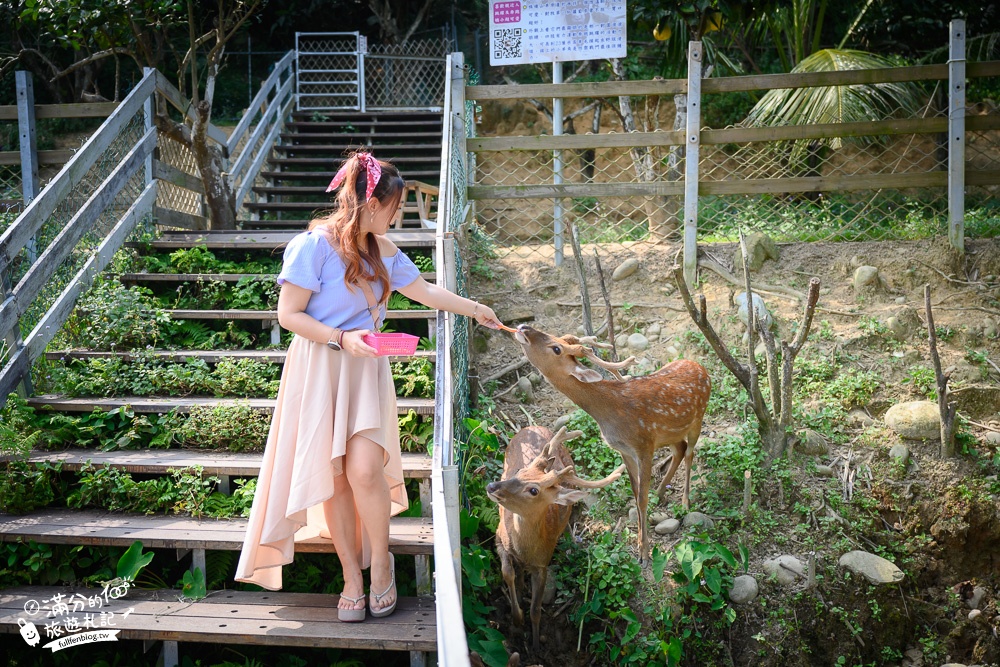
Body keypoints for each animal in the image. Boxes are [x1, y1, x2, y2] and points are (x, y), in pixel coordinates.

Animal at [486, 428, 624, 652]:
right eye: (519, 472)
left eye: (534, 490)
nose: (492, 486)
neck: (524, 550)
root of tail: (533, 427)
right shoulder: (499, 538)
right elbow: (508, 574)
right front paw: (517, 618)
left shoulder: (542, 564)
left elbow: (536, 610)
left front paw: (535, 646)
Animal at [512, 326, 716, 568]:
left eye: (556, 348)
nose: (524, 328)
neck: (610, 410)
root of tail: (700, 366)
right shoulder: (625, 450)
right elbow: (636, 494)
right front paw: (639, 543)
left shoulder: (644, 444)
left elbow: (641, 498)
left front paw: (644, 554)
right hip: (670, 432)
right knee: (680, 449)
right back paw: (660, 492)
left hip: (698, 417)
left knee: (691, 451)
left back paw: (685, 502)